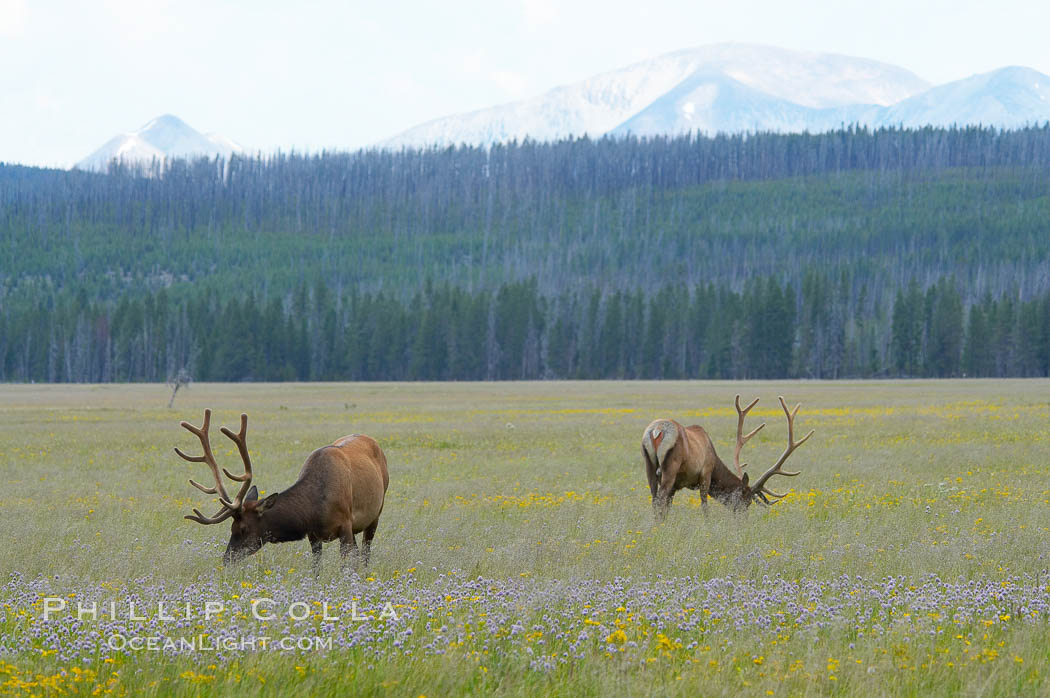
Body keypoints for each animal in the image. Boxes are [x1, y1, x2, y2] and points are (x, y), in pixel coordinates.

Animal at [176, 409, 390, 566]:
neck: (315, 510)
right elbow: (316, 567)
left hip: (376, 514)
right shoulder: (313, 535)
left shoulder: (345, 525)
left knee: (365, 552)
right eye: (231, 527)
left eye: (243, 528)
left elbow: (347, 564)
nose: (227, 559)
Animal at [638, 392, 810, 516]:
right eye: (746, 501)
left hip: (649, 465)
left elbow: (668, 506)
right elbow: (704, 505)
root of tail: (656, 431)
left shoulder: (677, 485)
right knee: (660, 498)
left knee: (654, 498)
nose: (742, 519)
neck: (715, 463)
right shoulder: (705, 473)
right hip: (671, 466)